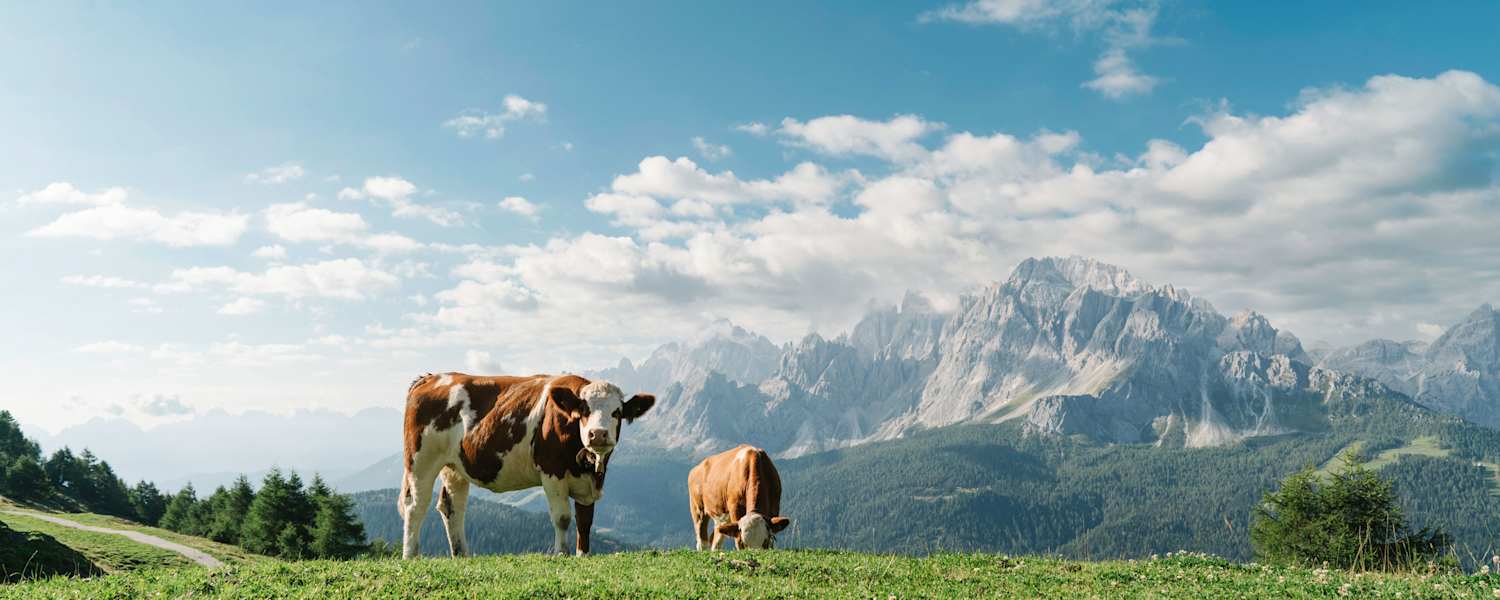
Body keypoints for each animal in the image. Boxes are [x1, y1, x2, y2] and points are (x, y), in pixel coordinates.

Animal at [399, 372, 655, 558]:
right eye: (584, 410)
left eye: (617, 412)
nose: (598, 434)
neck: (586, 466)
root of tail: (431, 377)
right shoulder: (552, 471)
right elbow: (562, 517)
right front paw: (561, 553)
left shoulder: (589, 483)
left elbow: (585, 521)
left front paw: (583, 555)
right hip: (420, 461)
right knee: (415, 506)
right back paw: (411, 556)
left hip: (454, 466)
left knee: (452, 507)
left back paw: (461, 555)